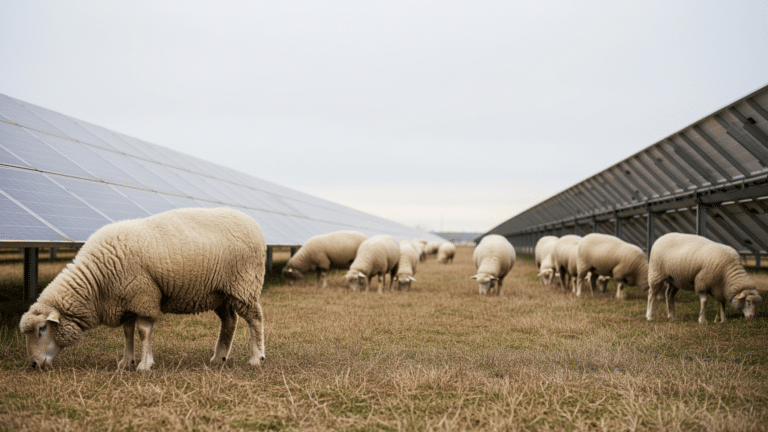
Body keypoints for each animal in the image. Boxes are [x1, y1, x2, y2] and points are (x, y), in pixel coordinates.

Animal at [19, 208, 266, 371]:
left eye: (42, 329)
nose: (33, 364)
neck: (95, 283)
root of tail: (252, 222)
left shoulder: (143, 296)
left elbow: (143, 331)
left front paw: (144, 365)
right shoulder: (125, 300)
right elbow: (127, 332)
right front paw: (126, 362)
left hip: (245, 284)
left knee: (255, 319)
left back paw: (256, 357)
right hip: (221, 293)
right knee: (229, 321)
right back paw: (219, 358)